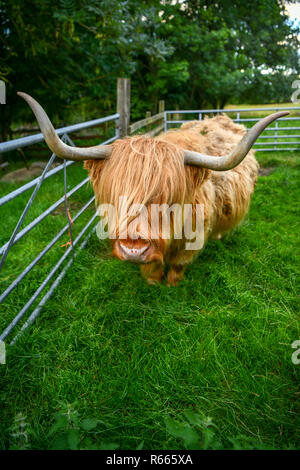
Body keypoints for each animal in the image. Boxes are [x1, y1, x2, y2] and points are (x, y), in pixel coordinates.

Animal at [18, 91, 288, 282]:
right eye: (117, 195)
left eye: (168, 199)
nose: (133, 248)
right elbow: (153, 265)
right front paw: (153, 281)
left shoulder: (193, 238)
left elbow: (178, 265)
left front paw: (172, 284)